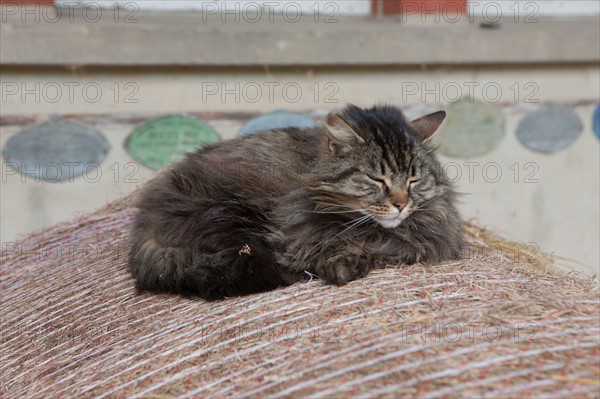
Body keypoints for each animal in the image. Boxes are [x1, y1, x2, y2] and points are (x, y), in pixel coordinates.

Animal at [127, 104, 464, 298]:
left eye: (413, 180)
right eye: (377, 180)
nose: (400, 204)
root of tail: (143, 225)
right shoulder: (293, 238)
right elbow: (325, 250)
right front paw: (344, 267)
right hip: (232, 214)